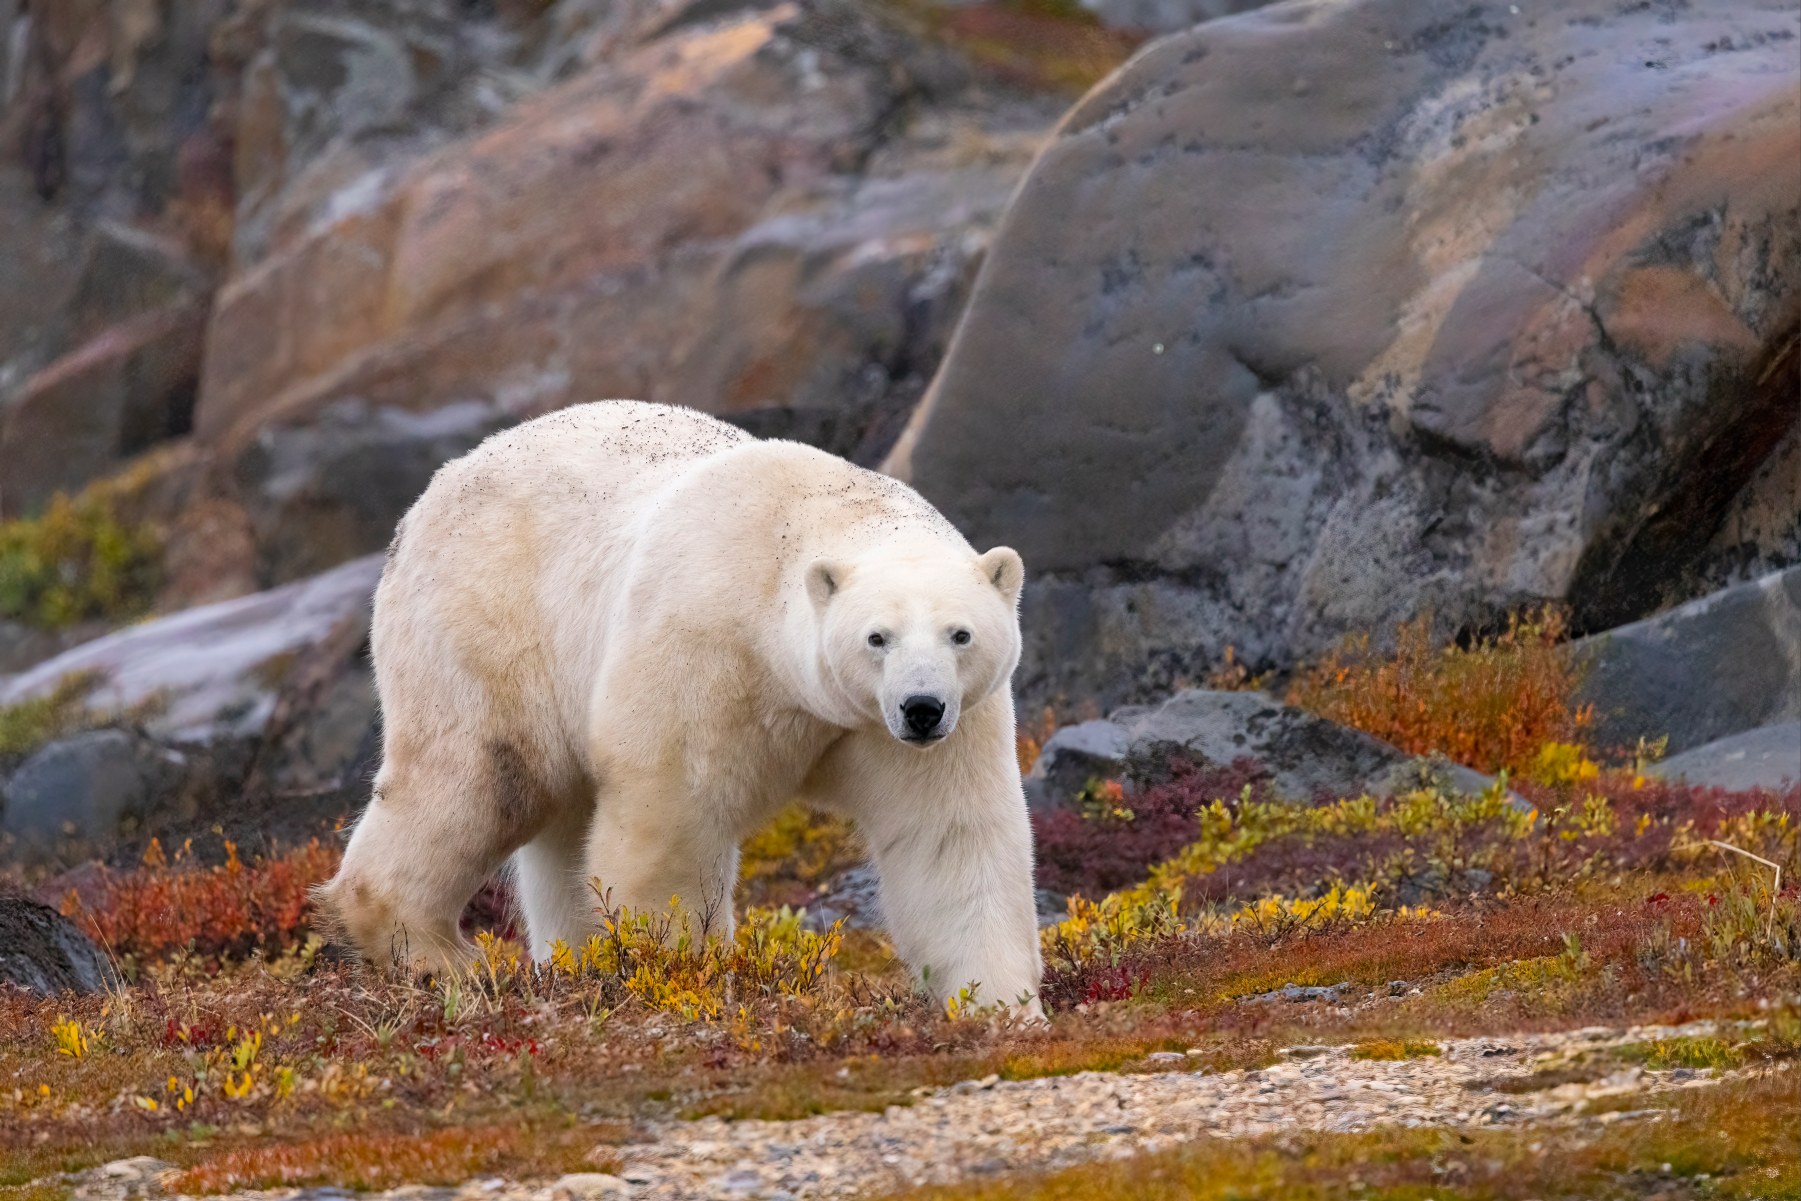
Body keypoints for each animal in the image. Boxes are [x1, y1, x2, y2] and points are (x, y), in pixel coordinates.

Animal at [317, 400, 1044, 1014]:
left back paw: (570, 962)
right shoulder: (710, 651)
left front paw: (1000, 1008)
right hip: (490, 620)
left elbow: (946, 839)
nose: (921, 708)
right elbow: (672, 818)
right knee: (485, 776)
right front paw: (676, 970)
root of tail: (429, 497)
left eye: (960, 634)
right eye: (877, 637)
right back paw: (439, 959)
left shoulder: (925, 724)